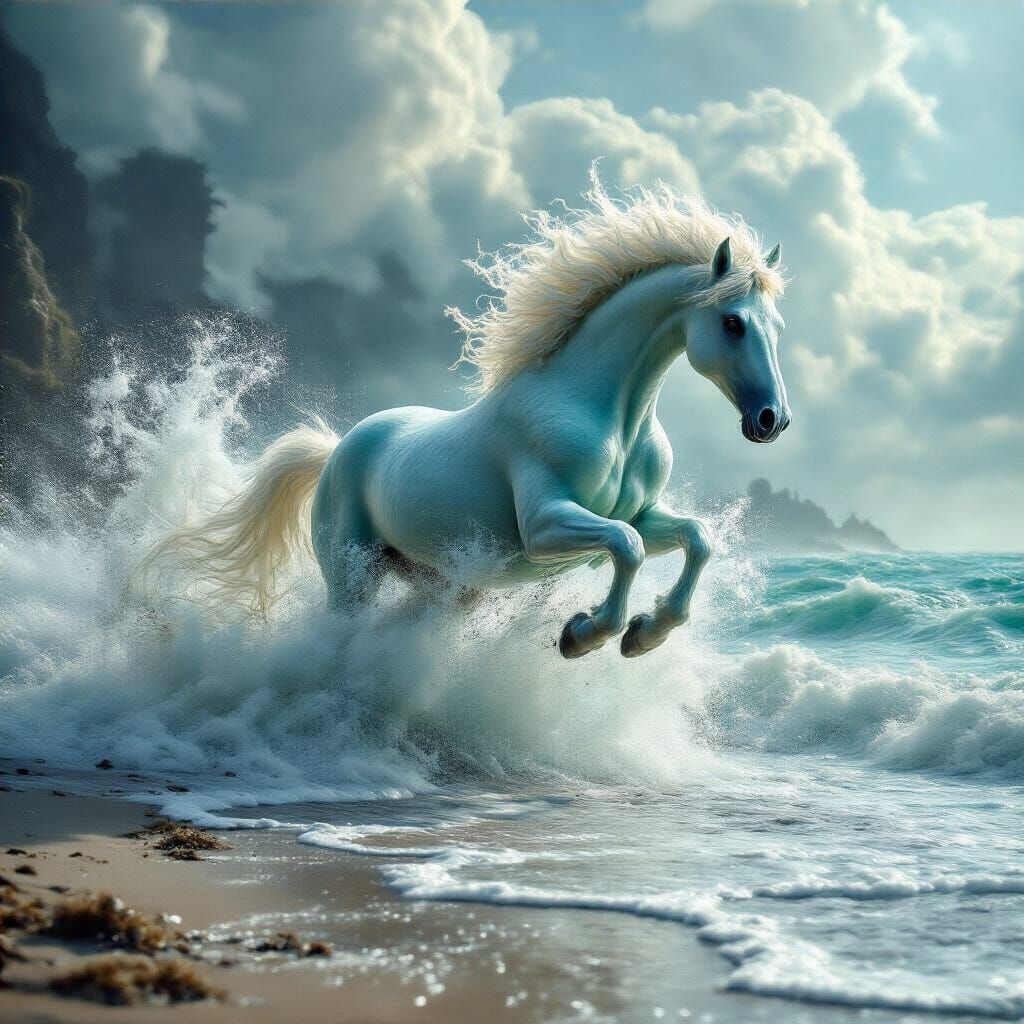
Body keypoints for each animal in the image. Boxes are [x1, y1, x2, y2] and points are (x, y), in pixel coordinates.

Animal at [142, 177, 790, 658]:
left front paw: (644, 635)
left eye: (776, 327)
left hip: (447, 585)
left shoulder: (645, 514)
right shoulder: (545, 525)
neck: (610, 419)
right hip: (352, 574)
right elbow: (626, 547)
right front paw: (585, 634)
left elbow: (695, 538)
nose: (771, 421)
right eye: (733, 322)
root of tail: (337, 449)